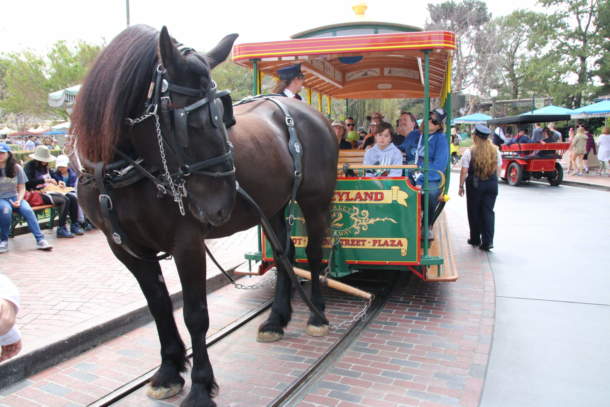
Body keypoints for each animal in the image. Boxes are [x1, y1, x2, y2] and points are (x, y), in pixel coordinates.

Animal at [72, 26, 338, 407]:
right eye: (190, 122)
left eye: (223, 113)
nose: (221, 204)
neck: (119, 174)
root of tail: (304, 110)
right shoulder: (126, 248)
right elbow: (159, 307)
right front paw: (168, 371)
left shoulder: (187, 243)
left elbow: (195, 314)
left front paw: (199, 386)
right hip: (272, 205)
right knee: (284, 253)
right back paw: (276, 319)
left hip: (314, 200)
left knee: (315, 252)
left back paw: (317, 313)